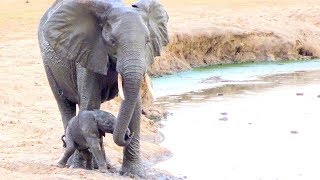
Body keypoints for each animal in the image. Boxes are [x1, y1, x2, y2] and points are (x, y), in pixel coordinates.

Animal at [37, 0, 169, 177]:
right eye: (112, 41)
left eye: (147, 41)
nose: (128, 134)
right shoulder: (88, 52)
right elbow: (90, 102)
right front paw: (82, 167)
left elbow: (134, 108)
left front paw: (133, 174)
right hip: (49, 65)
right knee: (65, 106)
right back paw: (73, 164)